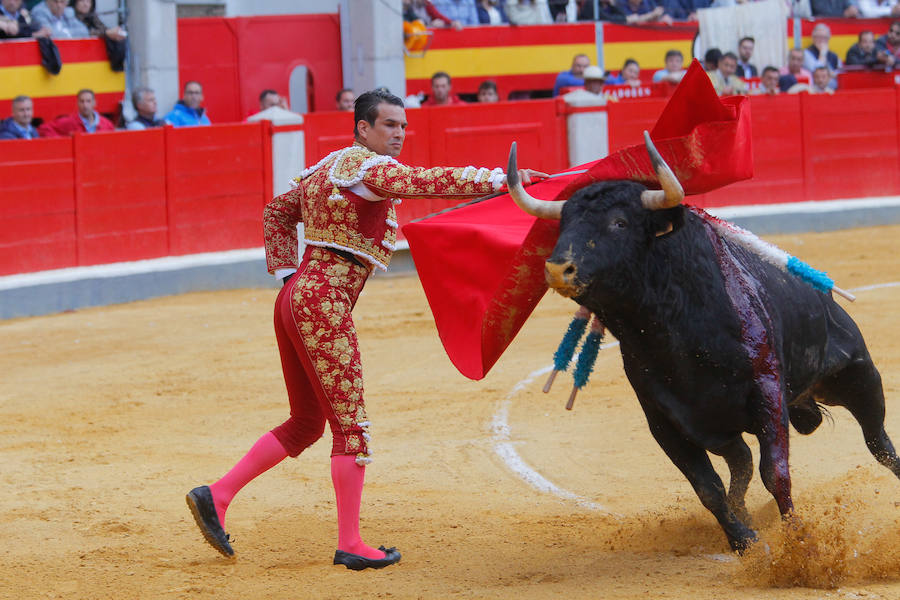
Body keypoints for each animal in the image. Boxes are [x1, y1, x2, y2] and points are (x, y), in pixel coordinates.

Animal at [506, 142, 900, 552]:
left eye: (620, 223)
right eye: (564, 223)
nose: (557, 269)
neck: (676, 330)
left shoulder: (768, 394)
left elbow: (775, 473)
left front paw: (798, 543)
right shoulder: (665, 421)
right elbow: (707, 487)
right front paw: (744, 540)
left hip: (858, 374)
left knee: (879, 442)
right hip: (728, 427)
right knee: (741, 460)